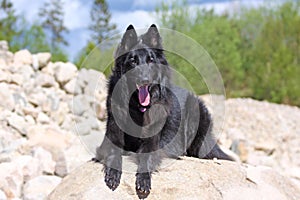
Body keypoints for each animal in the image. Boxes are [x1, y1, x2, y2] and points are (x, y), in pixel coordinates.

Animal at [95, 24, 233, 199]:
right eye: (133, 61)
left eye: (151, 60)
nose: (145, 79)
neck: (138, 108)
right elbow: (113, 152)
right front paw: (113, 173)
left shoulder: (152, 142)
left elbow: (146, 158)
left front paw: (143, 180)